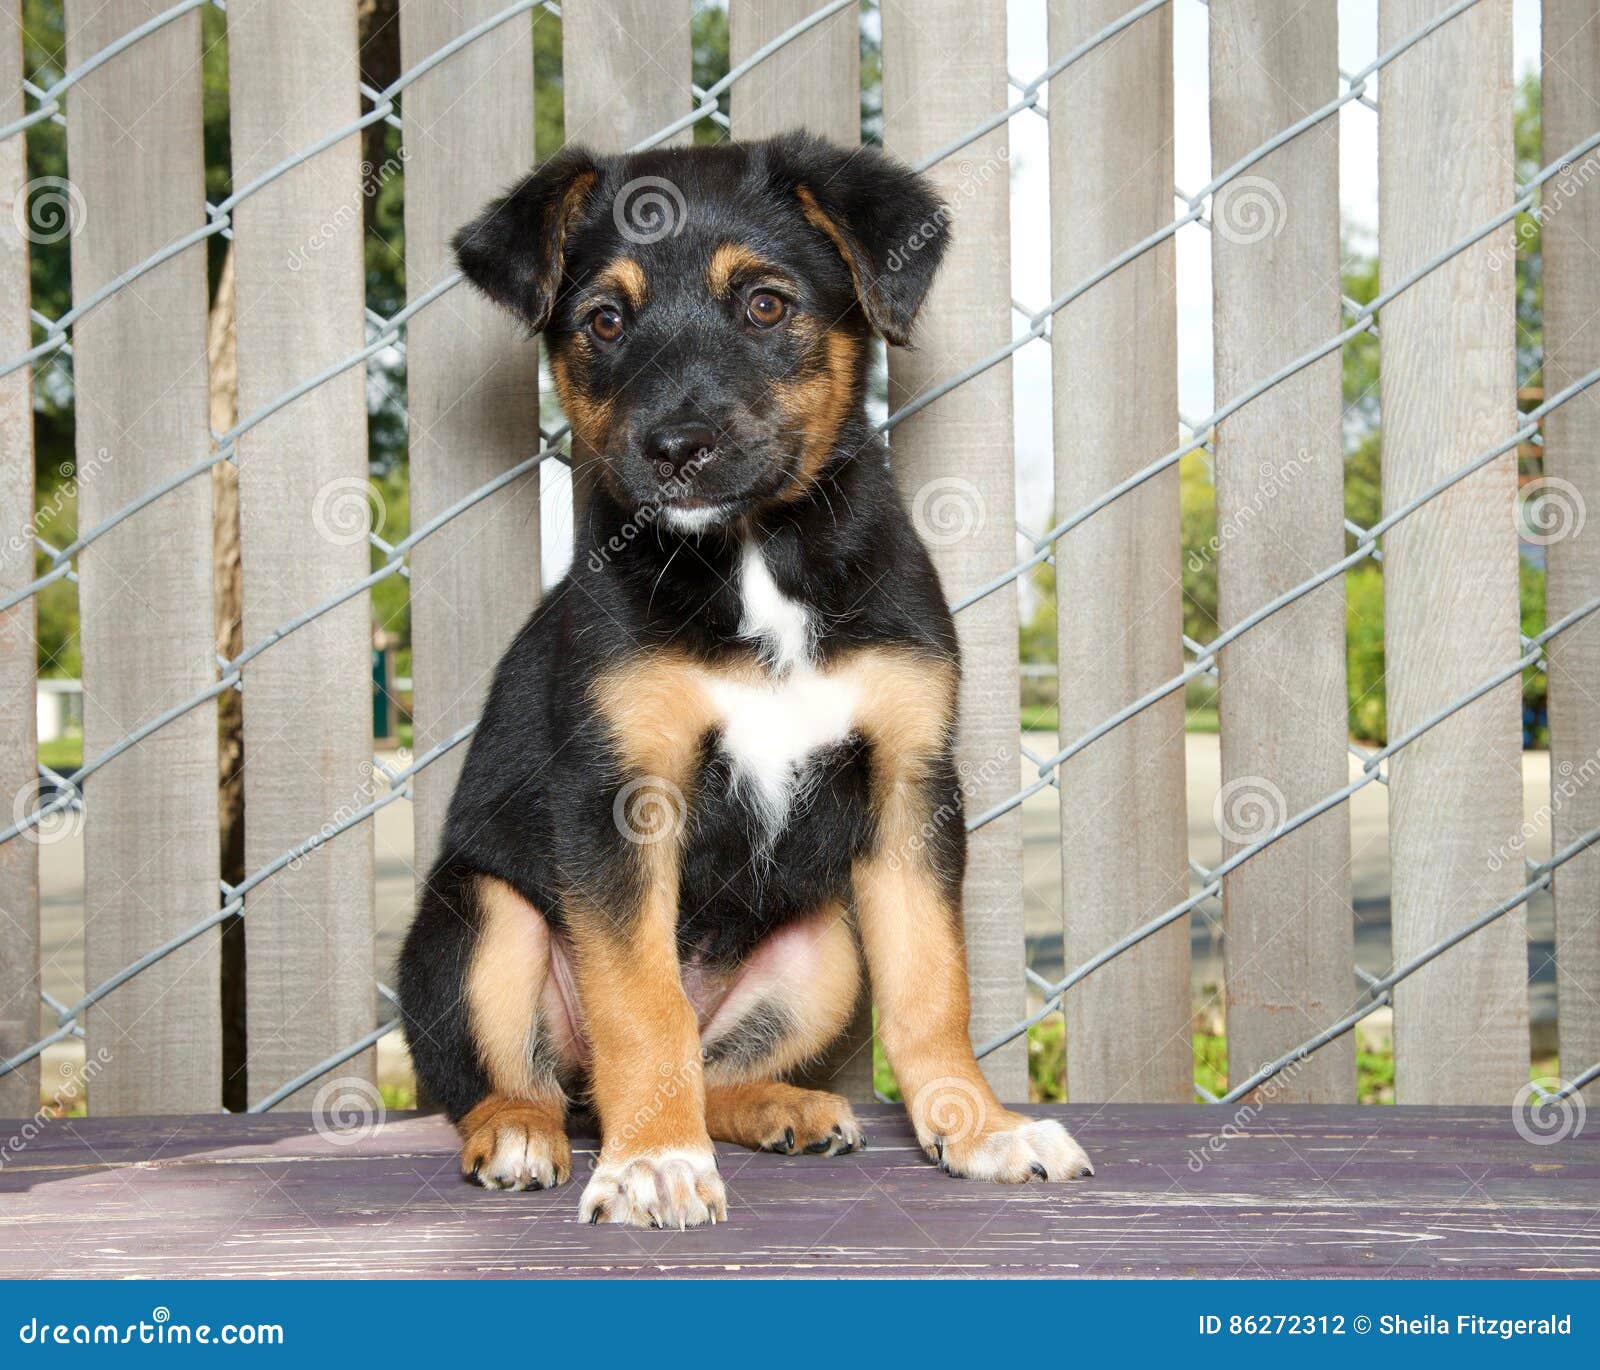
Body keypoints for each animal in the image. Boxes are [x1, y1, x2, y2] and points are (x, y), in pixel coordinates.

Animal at [400, 133, 1094, 1229]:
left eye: (765, 305)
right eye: (604, 320)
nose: (676, 450)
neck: (753, 555)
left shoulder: (909, 783)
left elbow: (932, 987)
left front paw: (979, 1129)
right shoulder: (618, 797)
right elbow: (643, 1006)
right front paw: (651, 1161)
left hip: (825, 946)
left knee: (716, 1063)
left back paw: (781, 1108)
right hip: (483, 915)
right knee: (516, 1080)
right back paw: (524, 1133)